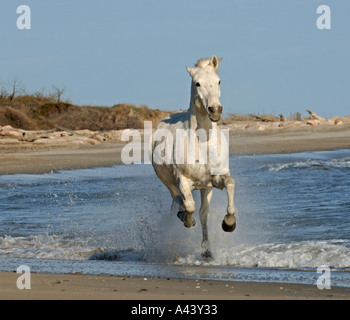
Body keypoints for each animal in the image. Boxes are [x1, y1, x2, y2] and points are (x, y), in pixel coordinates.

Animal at [152, 55, 237, 260]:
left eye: (219, 81)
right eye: (197, 83)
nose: (215, 110)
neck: (203, 142)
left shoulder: (217, 179)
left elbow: (230, 184)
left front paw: (229, 223)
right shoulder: (182, 181)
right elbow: (189, 205)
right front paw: (188, 221)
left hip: (205, 188)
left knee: (203, 214)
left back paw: (207, 252)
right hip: (170, 183)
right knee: (179, 200)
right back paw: (183, 216)